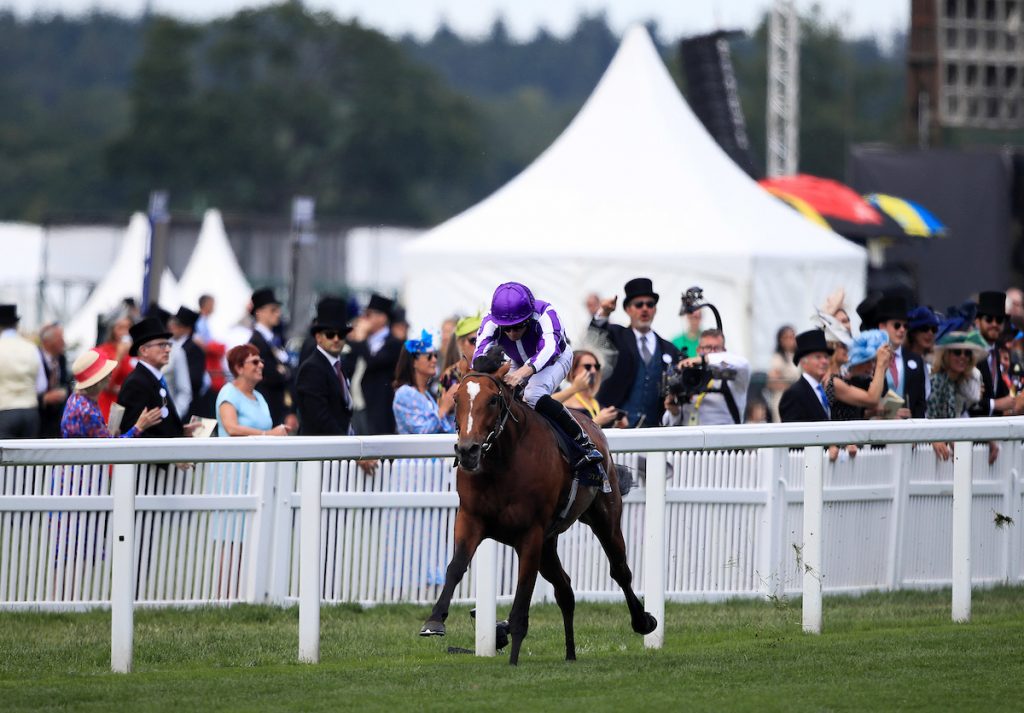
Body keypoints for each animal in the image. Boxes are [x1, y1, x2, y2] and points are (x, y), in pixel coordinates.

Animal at [421, 358, 655, 663]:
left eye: (493, 400)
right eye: (456, 398)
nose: (467, 450)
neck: (502, 462)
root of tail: (592, 423)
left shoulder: (530, 534)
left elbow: (522, 596)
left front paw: (513, 660)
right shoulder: (471, 519)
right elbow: (456, 566)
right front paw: (434, 620)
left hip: (604, 517)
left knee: (620, 570)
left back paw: (643, 621)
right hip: (548, 543)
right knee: (565, 588)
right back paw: (570, 654)